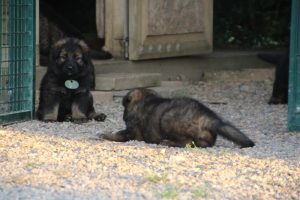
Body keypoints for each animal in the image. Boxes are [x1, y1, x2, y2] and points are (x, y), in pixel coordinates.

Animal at [101, 88, 255, 148]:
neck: (143, 101)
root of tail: (208, 118)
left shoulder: (131, 131)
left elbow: (119, 134)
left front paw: (104, 135)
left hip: (167, 119)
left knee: (187, 142)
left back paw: (168, 142)